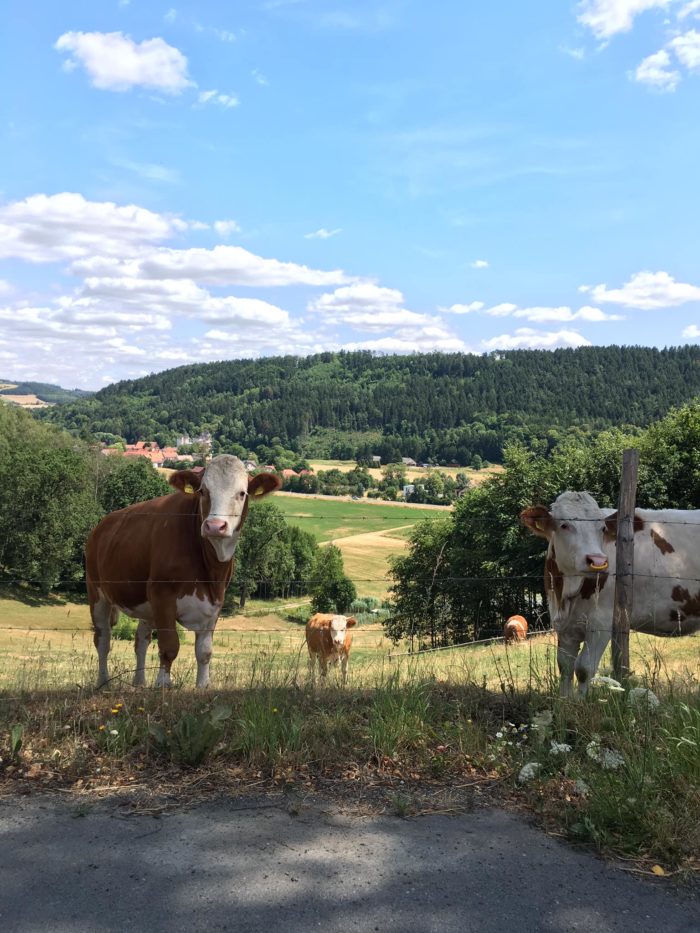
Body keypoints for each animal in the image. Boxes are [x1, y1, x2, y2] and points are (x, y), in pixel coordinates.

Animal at [82, 456, 278, 688]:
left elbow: (204, 651)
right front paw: (163, 684)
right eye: (203, 491)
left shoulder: (215, 601)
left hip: (146, 605)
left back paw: (139, 682)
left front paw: (202, 686)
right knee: (103, 639)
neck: (208, 568)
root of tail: (101, 525)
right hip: (97, 591)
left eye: (241, 493)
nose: (215, 526)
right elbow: (169, 646)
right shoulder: (162, 595)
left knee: (141, 640)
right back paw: (104, 681)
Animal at [524, 492, 700, 696]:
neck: (565, 595)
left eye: (602, 528)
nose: (597, 561)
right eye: (564, 525)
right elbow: (565, 666)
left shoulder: (601, 622)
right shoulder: (565, 626)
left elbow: (584, 668)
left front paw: (581, 702)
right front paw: (565, 701)